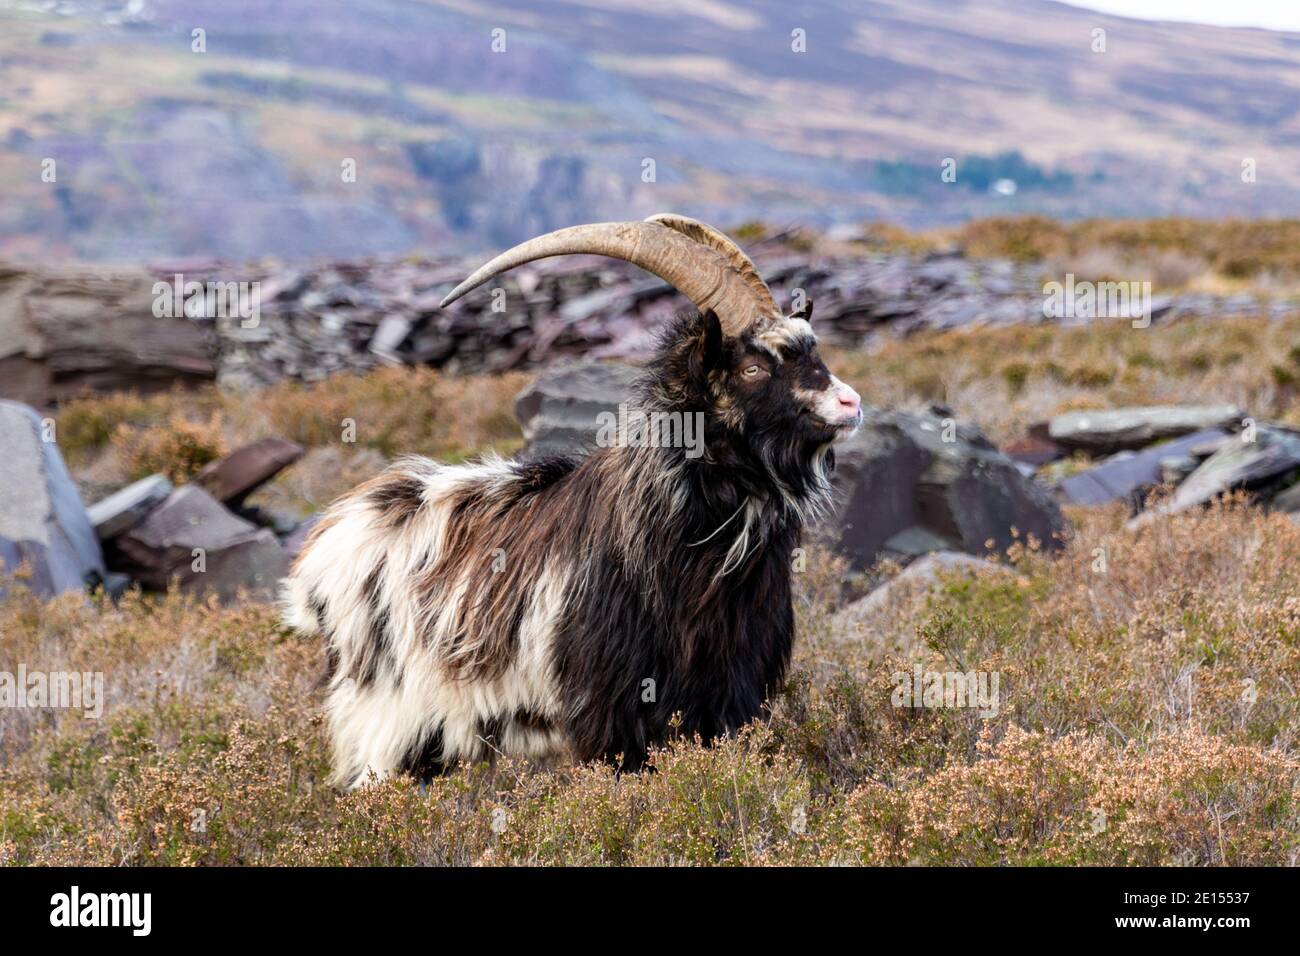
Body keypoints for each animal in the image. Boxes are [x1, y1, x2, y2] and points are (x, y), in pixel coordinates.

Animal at [282, 213, 863, 790]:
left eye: (812, 351)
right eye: (752, 369)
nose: (850, 403)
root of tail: (329, 540)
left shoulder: (730, 698)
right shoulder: (609, 714)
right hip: (384, 725)